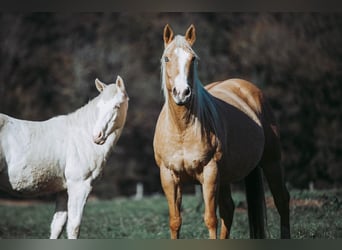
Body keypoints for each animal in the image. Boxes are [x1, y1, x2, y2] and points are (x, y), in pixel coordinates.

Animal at [0, 75, 128, 238]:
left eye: (117, 106)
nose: (97, 136)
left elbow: (57, 226)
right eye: (99, 107)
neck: (82, 136)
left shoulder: (63, 190)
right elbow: (74, 226)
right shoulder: (79, 185)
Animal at [154, 24, 290, 239]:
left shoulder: (210, 172)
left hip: (272, 162)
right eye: (167, 58)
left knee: (282, 200)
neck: (182, 129)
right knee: (229, 209)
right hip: (226, 176)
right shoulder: (168, 176)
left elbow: (211, 219)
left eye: (193, 59)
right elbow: (175, 221)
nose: (182, 93)